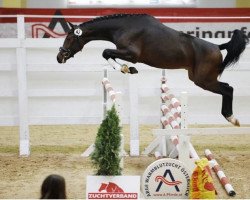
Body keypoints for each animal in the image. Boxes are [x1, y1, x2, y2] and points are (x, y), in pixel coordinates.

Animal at [57, 13, 249, 126]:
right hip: (199, 78)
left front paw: (126, 68)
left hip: (204, 81)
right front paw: (128, 69)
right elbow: (107, 54)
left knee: (228, 89)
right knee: (227, 88)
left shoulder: (131, 54)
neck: (124, 26)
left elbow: (106, 52)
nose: (59, 57)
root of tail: (217, 46)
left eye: (69, 38)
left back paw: (232, 118)